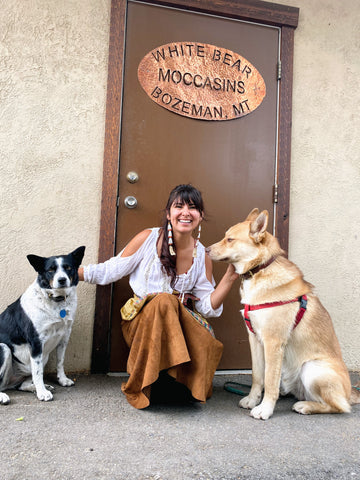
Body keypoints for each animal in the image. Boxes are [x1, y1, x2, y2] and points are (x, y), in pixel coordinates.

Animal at [0, 248, 85, 404]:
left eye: (68, 268)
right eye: (51, 270)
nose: (62, 280)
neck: (56, 300)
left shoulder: (64, 337)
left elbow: (60, 362)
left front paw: (62, 380)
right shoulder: (36, 343)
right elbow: (38, 372)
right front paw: (42, 393)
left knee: (19, 385)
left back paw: (37, 387)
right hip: (3, 348)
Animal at [207, 208, 358, 418]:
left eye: (230, 239)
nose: (206, 250)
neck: (259, 271)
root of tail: (350, 392)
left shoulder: (273, 341)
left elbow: (270, 380)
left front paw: (265, 409)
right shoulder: (254, 340)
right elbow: (257, 376)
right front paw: (252, 400)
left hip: (312, 368)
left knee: (339, 406)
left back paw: (305, 406)